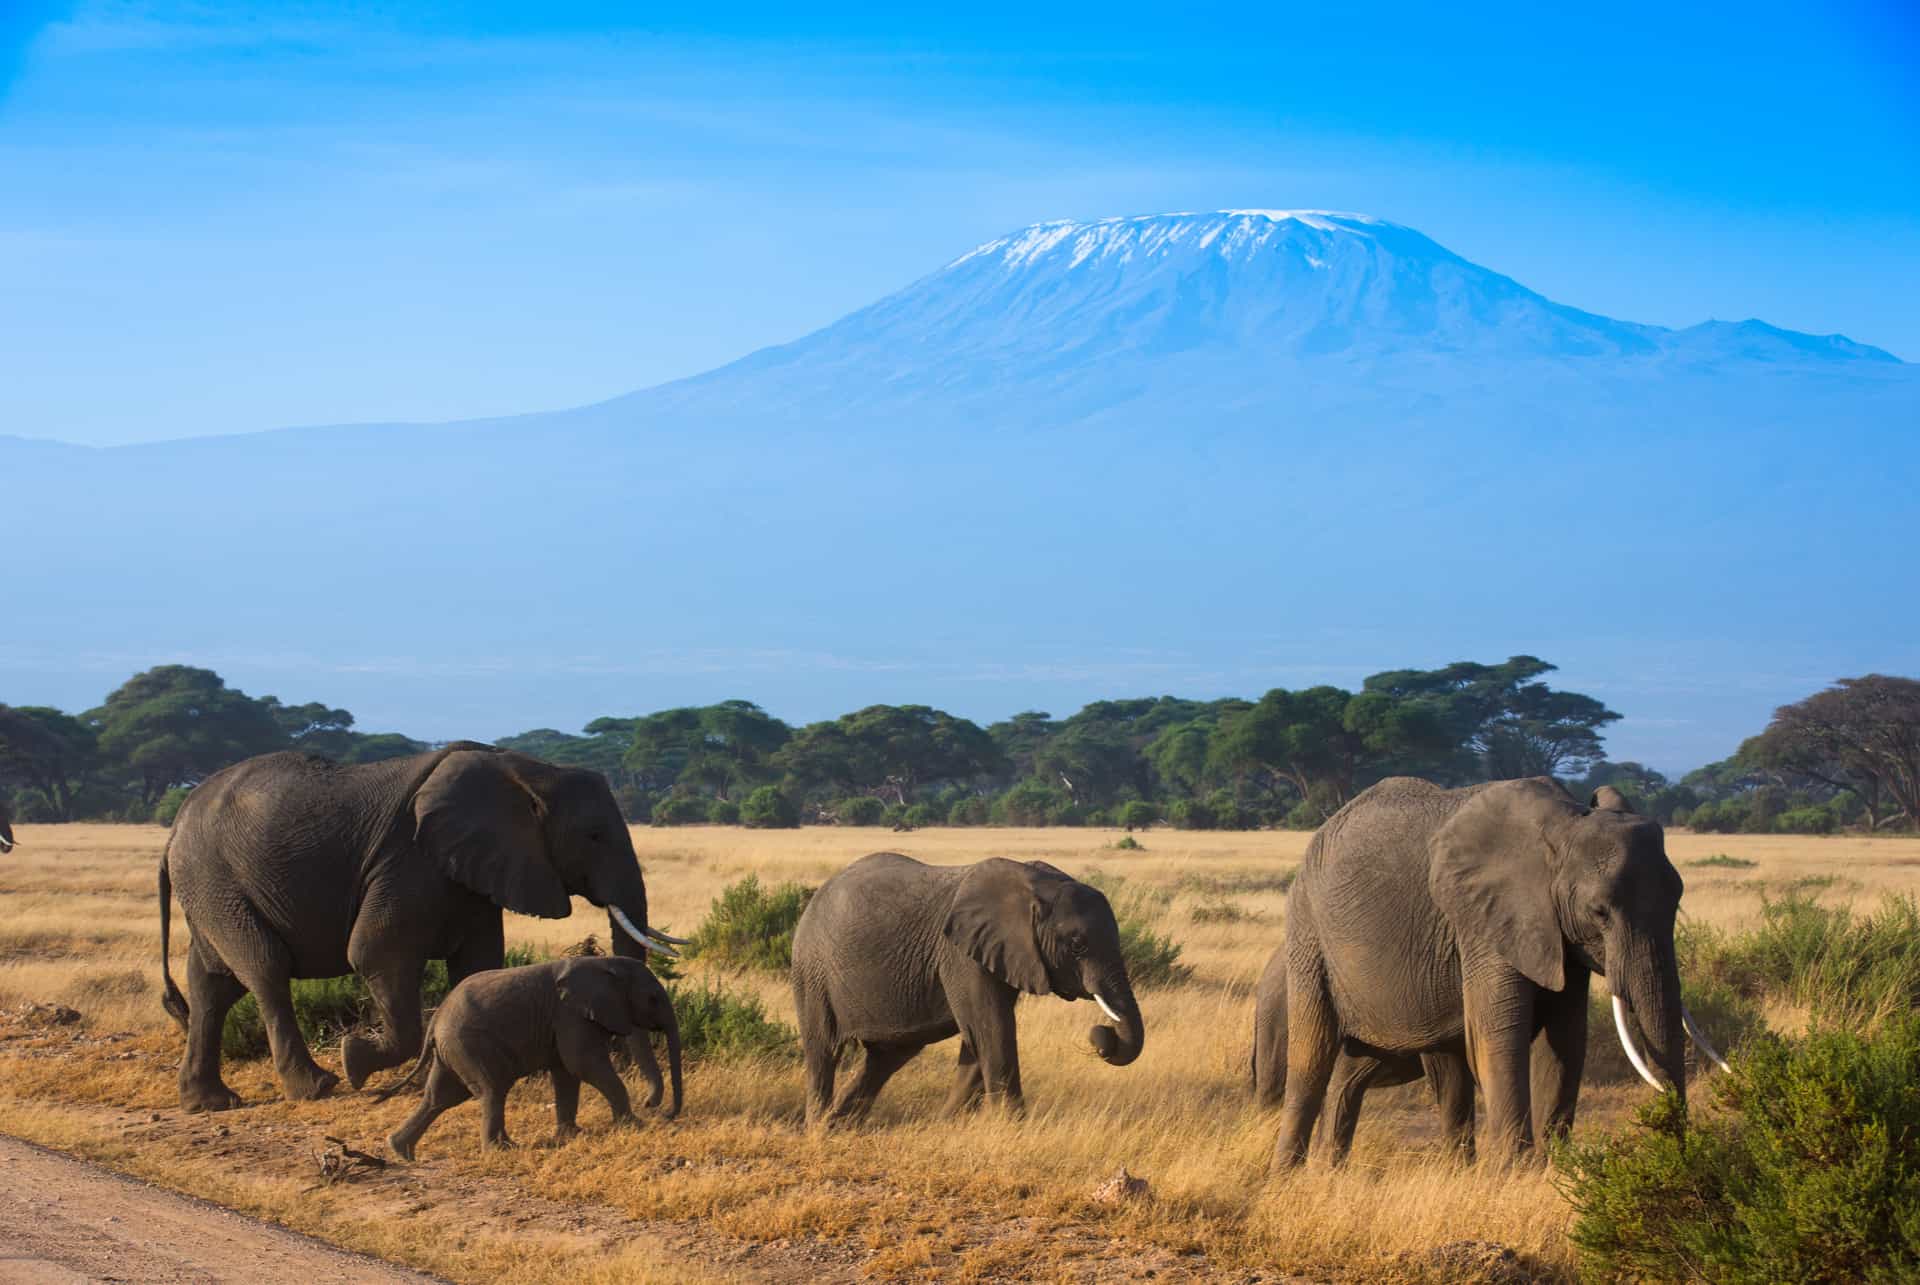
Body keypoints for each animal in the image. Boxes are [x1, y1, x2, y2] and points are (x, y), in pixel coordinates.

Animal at [159, 741, 683, 1114]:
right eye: (594, 835)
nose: (653, 1106)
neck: (526, 770)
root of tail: (175, 825)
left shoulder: (474, 867)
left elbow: (479, 964)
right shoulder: (407, 861)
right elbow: (375, 952)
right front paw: (355, 1061)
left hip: (210, 887)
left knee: (211, 985)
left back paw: (209, 1103)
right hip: (216, 879)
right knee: (265, 969)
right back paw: (318, 1087)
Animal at [378, 956, 679, 1160]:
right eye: (653, 999)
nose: (655, 1108)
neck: (606, 963)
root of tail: (436, 1018)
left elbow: (567, 1073)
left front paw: (572, 1136)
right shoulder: (569, 1015)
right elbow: (583, 1064)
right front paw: (634, 1126)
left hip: (451, 1050)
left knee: (441, 1096)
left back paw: (400, 1150)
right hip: (468, 1044)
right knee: (491, 1090)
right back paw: (500, 1150)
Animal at [791, 852, 1144, 1121]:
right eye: (1077, 946)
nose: (1102, 1034)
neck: (1034, 884)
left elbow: (980, 1038)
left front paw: (945, 1125)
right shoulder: (961, 955)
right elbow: (991, 1030)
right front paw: (1012, 1126)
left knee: (887, 1056)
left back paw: (840, 1125)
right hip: (812, 972)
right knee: (824, 1049)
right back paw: (819, 1129)